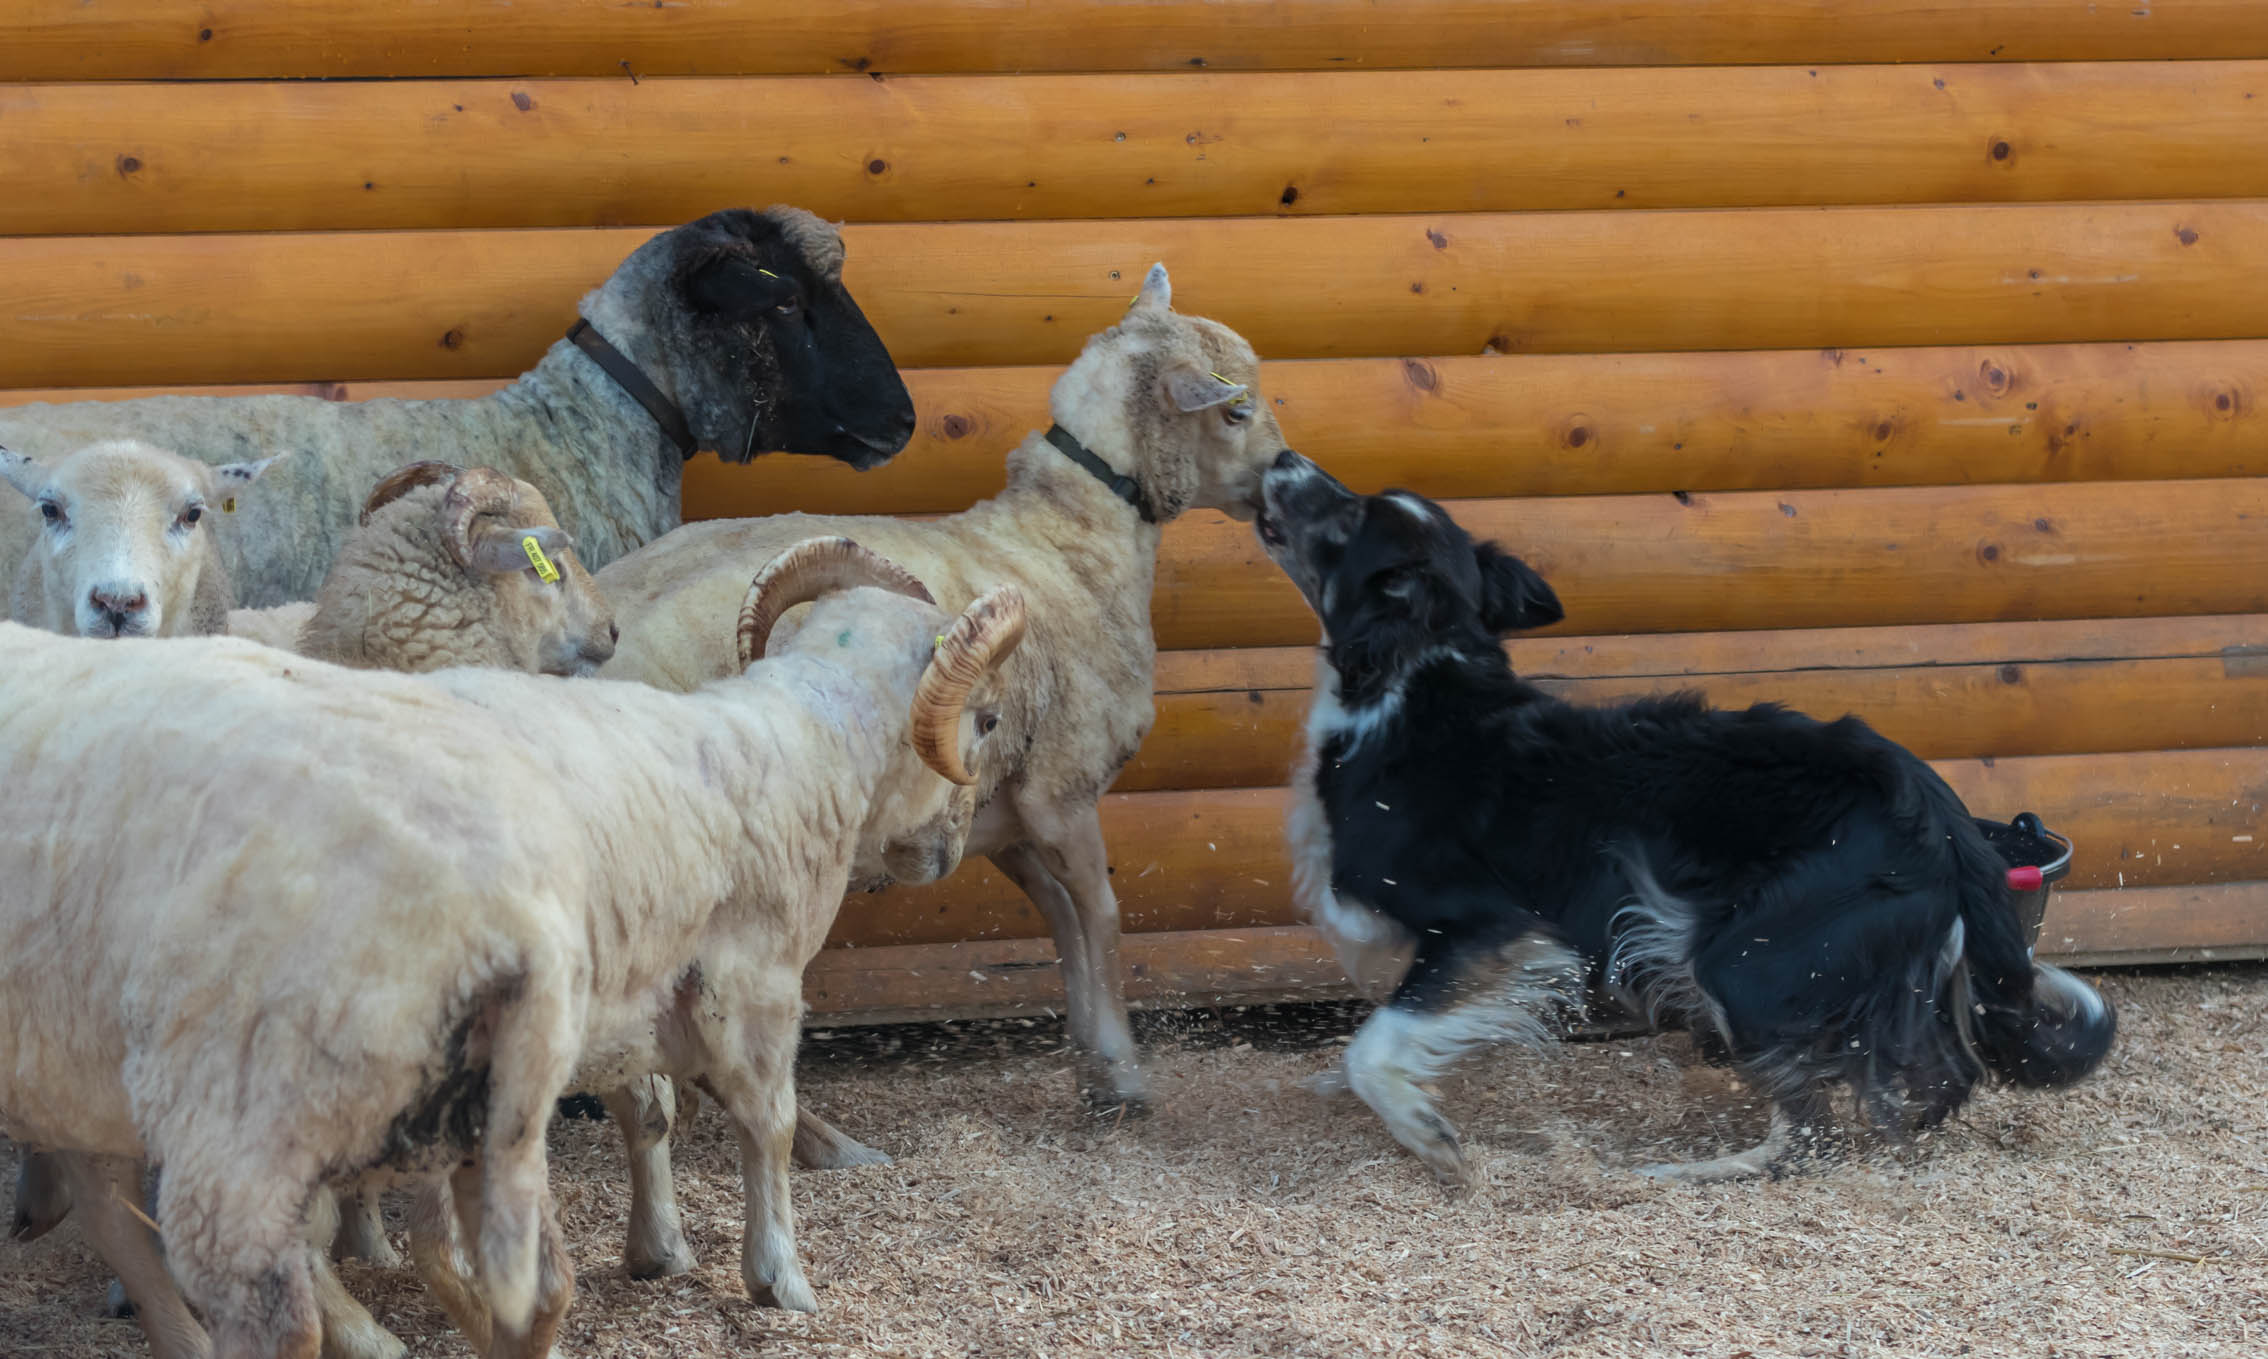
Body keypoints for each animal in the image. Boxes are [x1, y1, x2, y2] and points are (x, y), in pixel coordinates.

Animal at [0, 537, 1023, 1357]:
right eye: (986, 718)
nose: (944, 854)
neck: (804, 744)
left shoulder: (626, 1000)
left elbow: (647, 1114)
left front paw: (657, 1247)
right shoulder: (755, 983)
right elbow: (763, 1123)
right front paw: (778, 1275)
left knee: (130, 1204)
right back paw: (361, 1331)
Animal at [586, 263, 1292, 1273]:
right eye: (1235, 411)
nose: (1291, 480)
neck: (1069, 541)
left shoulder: (1002, 817)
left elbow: (1063, 922)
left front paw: (1091, 1055)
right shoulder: (1064, 786)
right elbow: (1106, 916)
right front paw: (1123, 1072)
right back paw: (821, 1152)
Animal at [1253, 451, 2117, 1187]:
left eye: (1347, 516)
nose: (1280, 458)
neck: (1405, 680)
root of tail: (1942, 816)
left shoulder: (1495, 927)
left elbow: (1377, 1040)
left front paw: (1427, 1133)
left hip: (1747, 961)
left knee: (1812, 1130)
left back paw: (1682, 1174)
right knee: (1933, 1077)